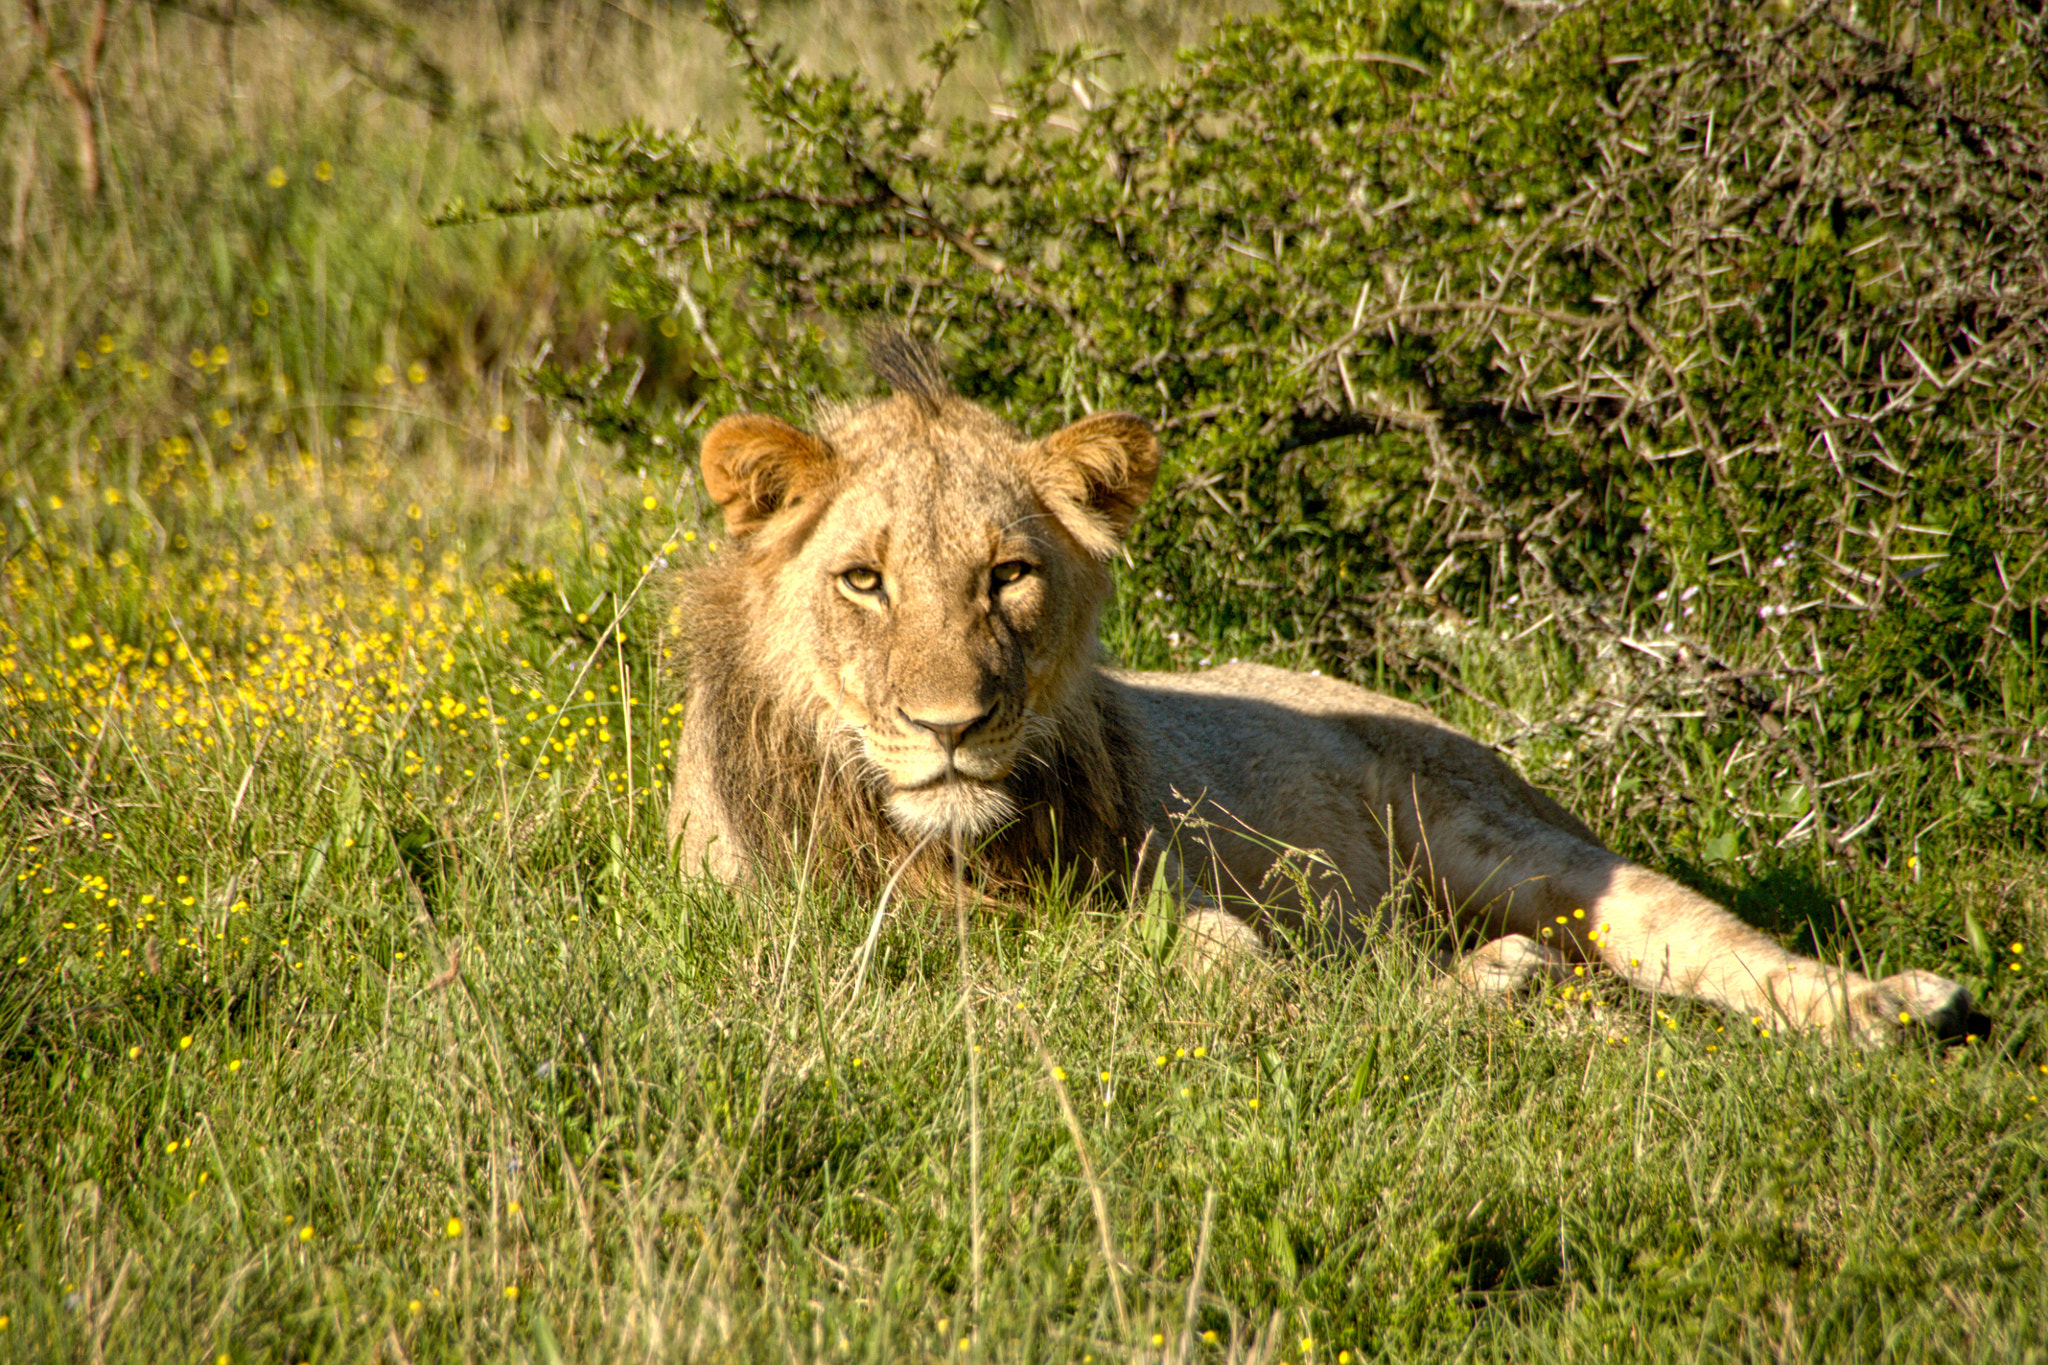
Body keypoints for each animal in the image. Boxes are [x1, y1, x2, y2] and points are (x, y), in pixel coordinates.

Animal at [666, 335, 1978, 1046]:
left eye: (1008, 575)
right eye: (863, 580)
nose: (952, 728)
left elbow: (1222, 958)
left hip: (1511, 842)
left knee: (1688, 937)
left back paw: (1885, 1006)